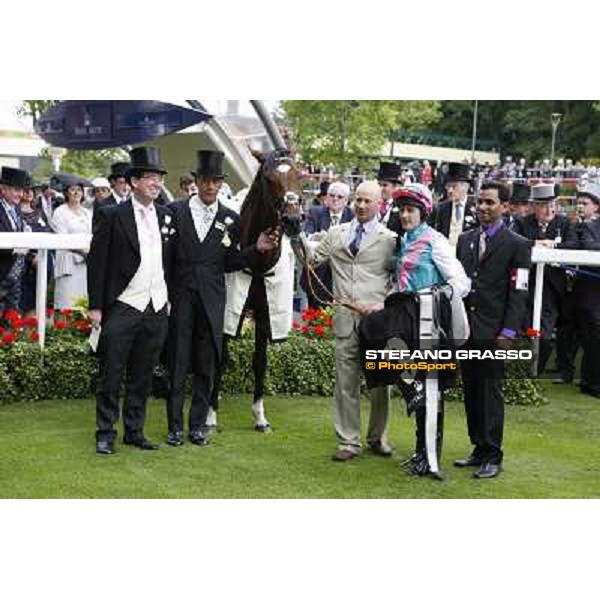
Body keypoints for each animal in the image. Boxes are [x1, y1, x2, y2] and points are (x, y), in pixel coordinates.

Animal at [209, 148, 302, 434]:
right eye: (269, 178)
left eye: (300, 175)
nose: (293, 220)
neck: (257, 263)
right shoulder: (225, 311)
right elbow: (220, 359)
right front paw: (209, 416)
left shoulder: (264, 314)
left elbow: (260, 362)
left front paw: (260, 417)